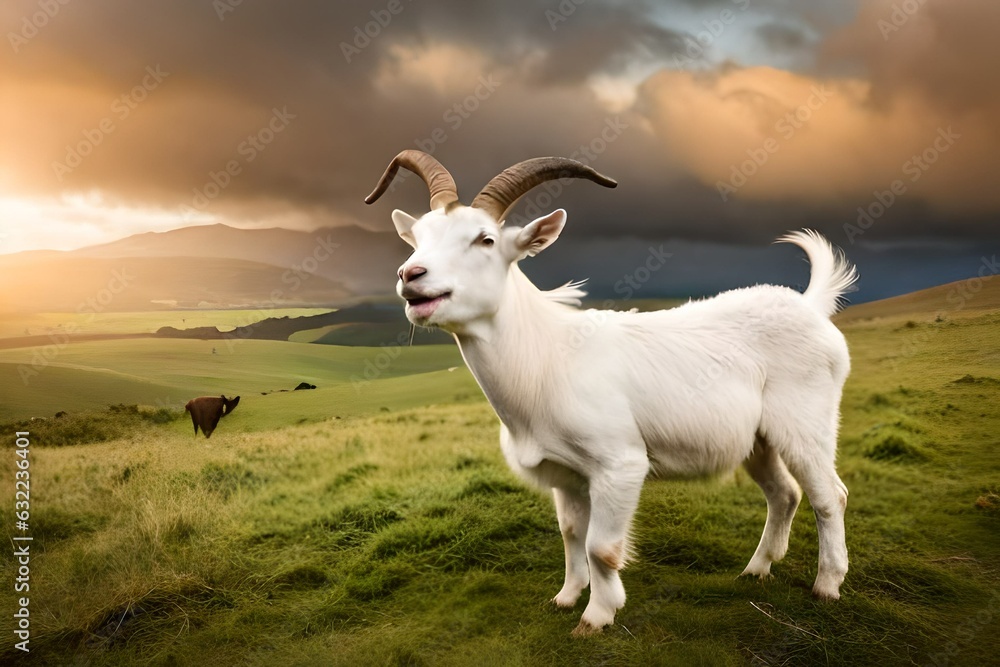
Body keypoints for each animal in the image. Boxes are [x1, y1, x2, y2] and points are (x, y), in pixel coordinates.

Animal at [365, 150, 857, 635]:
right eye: (418, 238)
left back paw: (827, 585)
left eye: (485, 240)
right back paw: (756, 569)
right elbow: (571, 534)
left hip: (805, 423)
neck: (547, 355)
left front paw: (597, 616)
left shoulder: (619, 465)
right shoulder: (566, 475)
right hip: (758, 439)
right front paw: (566, 597)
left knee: (829, 496)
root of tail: (810, 306)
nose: (411, 274)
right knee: (784, 494)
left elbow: (601, 545)